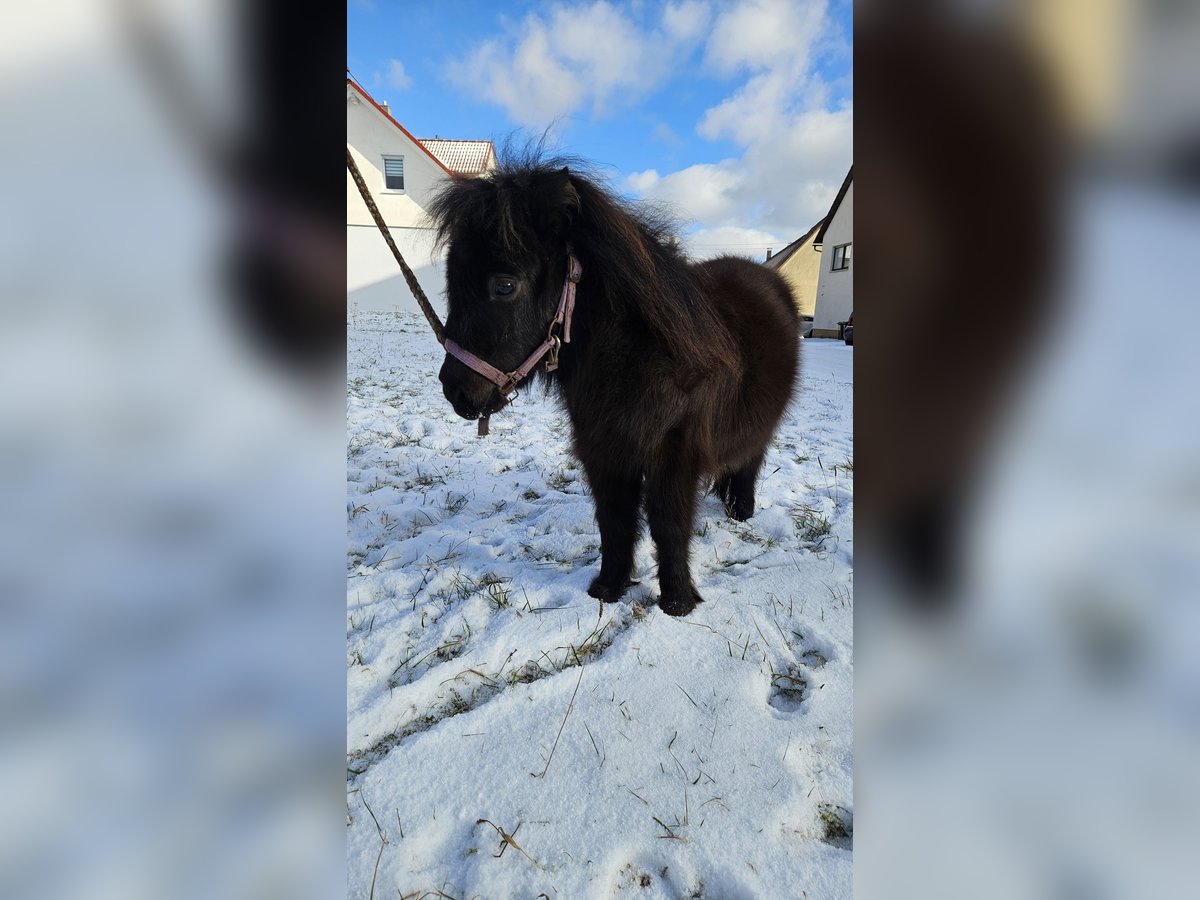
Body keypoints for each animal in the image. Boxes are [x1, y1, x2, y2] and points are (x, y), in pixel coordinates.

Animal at [429, 157, 796, 619]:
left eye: (504, 285)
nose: (455, 391)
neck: (639, 357)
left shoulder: (675, 455)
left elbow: (669, 524)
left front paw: (677, 601)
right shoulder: (603, 449)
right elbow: (614, 520)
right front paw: (608, 588)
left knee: (750, 458)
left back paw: (740, 511)